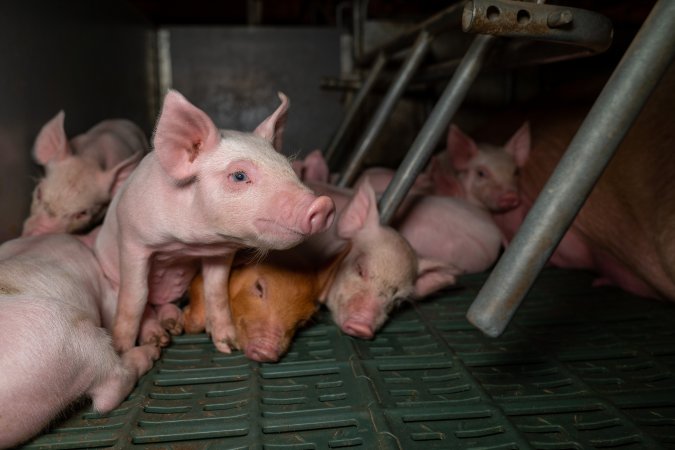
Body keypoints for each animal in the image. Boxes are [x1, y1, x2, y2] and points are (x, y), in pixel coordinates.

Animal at [93, 90, 336, 356]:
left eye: (289, 167)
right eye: (239, 175)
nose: (323, 204)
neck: (188, 243)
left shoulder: (220, 253)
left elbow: (217, 292)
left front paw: (229, 347)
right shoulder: (133, 241)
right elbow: (136, 295)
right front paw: (121, 351)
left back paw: (174, 325)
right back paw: (158, 339)